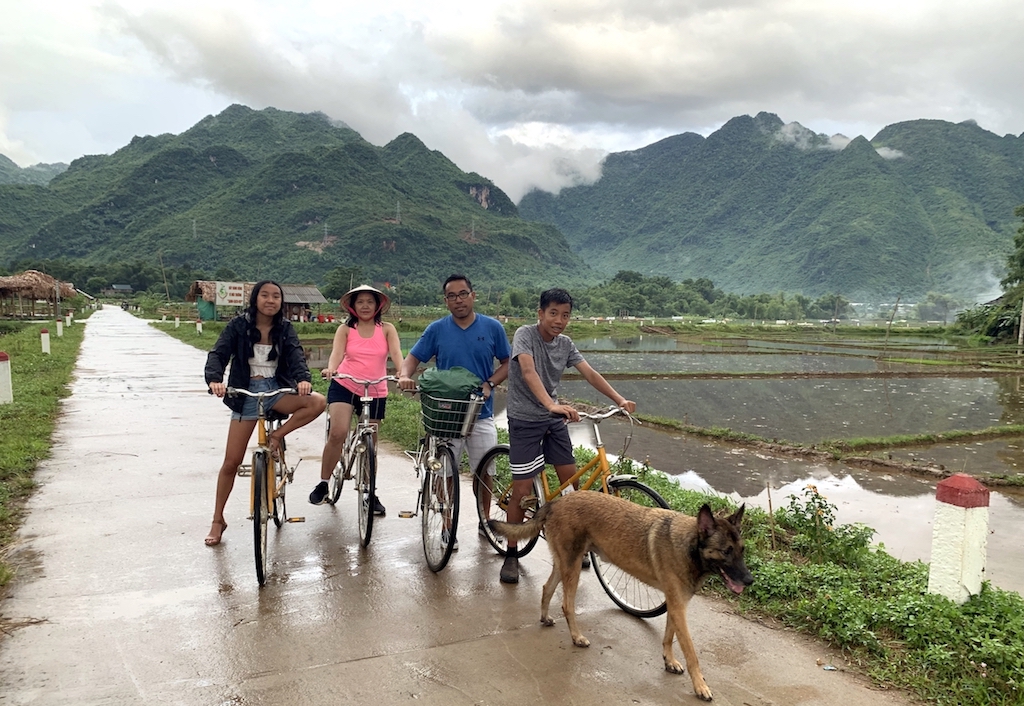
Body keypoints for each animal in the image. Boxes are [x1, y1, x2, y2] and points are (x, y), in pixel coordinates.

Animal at [487, 489, 753, 700]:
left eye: (742, 550)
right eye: (726, 551)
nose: (750, 580)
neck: (689, 546)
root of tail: (556, 502)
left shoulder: (676, 604)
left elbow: (669, 636)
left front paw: (669, 660)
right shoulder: (678, 607)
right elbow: (691, 652)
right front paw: (700, 686)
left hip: (565, 564)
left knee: (547, 588)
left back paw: (544, 617)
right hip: (573, 567)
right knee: (567, 604)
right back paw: (577, 637)